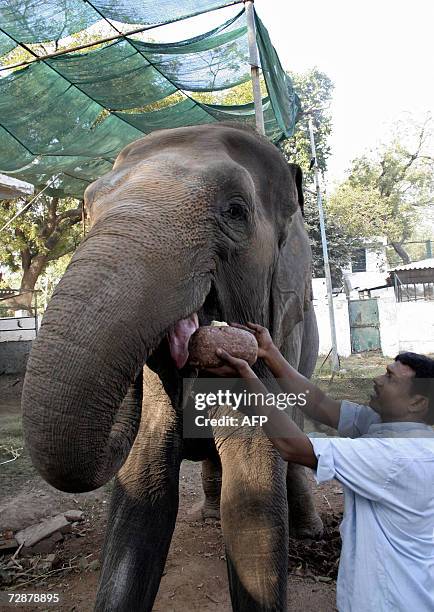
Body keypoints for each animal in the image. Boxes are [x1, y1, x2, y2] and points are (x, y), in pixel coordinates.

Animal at [22, 122, 322, 608]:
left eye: (235, 211)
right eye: (85, 211)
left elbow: (253, 495)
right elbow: (141, 492)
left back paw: (309, 532)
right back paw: (208, 516)